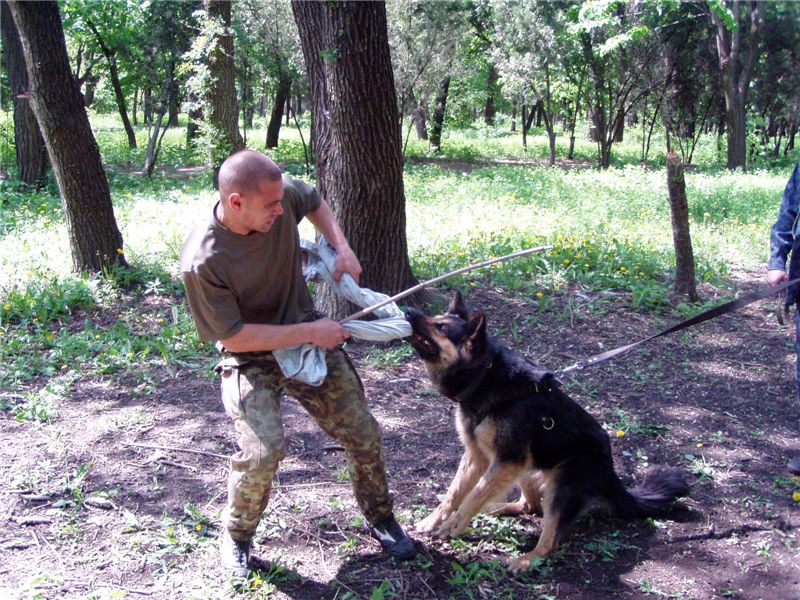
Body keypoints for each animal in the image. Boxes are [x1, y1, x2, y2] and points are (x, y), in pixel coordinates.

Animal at [405, 292, 689, 573]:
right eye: (435, 318)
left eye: (441, 327)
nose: (408, 311)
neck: (485, 377)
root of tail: (611, 476)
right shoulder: (480, 458)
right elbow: (455, 493)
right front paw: (433, 520)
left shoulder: (507, 460)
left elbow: (474, 495)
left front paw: (453, 525)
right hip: (528, 472)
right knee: (530, 506)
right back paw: (496, 509)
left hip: (559, 487)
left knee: (549, 540)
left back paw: (526, 559)